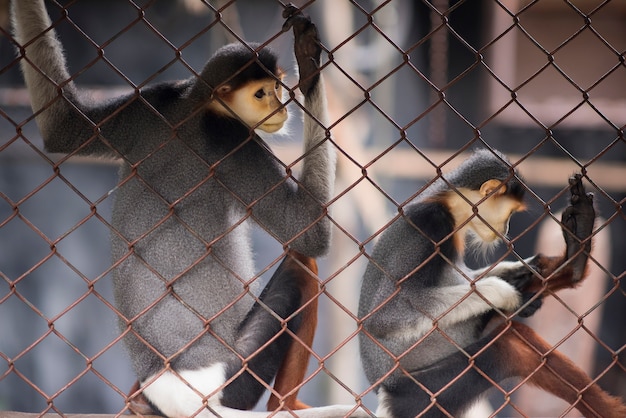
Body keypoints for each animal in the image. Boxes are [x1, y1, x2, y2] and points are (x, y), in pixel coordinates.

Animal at [11, 3, 366, 418]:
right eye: (262, 93)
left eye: (277, 88)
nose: (280, 106)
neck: (197, 104)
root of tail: (172, 386)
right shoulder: (231, 139)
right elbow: (308, 233)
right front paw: (310, 66)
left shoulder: (154, 102)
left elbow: (61, 125)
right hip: (235, 372)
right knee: (301, 265)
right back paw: (287, 405)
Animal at [356, 150, 624, 418]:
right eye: (510, 213)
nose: (506, 228)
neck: (449, 205)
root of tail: (382, 391)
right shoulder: (429, 224)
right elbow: (385, 316)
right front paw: (509, 295)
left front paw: (515, 272)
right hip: (420, 395)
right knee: (509, 347)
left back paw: (575, 257)